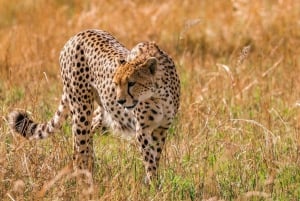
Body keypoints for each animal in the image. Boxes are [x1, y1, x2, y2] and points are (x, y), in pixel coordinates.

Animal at [7, 29, 180, 182]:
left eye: (131, 83)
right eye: (116, 84)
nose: (120, 101)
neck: (158, 94)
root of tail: (77, 35)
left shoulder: (161, 129)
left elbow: (155, 156)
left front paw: (153, 183)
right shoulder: (142, 130)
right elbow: (149, 160)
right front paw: (153, 185)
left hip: (105, 111)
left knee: (89, 131)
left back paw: (90, 166)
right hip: (81, 107)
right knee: (79, 144)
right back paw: (84, 179)